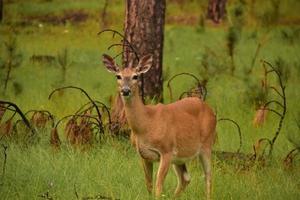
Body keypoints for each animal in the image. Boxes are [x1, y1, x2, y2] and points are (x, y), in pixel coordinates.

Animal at [102, 54, 217, 199]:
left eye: (135, 76)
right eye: (118, 76)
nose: (125, 90)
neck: (146, 124)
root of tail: (210, 109)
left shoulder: (166, 150)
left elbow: (158, 185)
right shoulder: (143, 154)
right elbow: (149, 184)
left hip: (206, 143)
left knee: (208, 176)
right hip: (179, 157)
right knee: (185, 178)